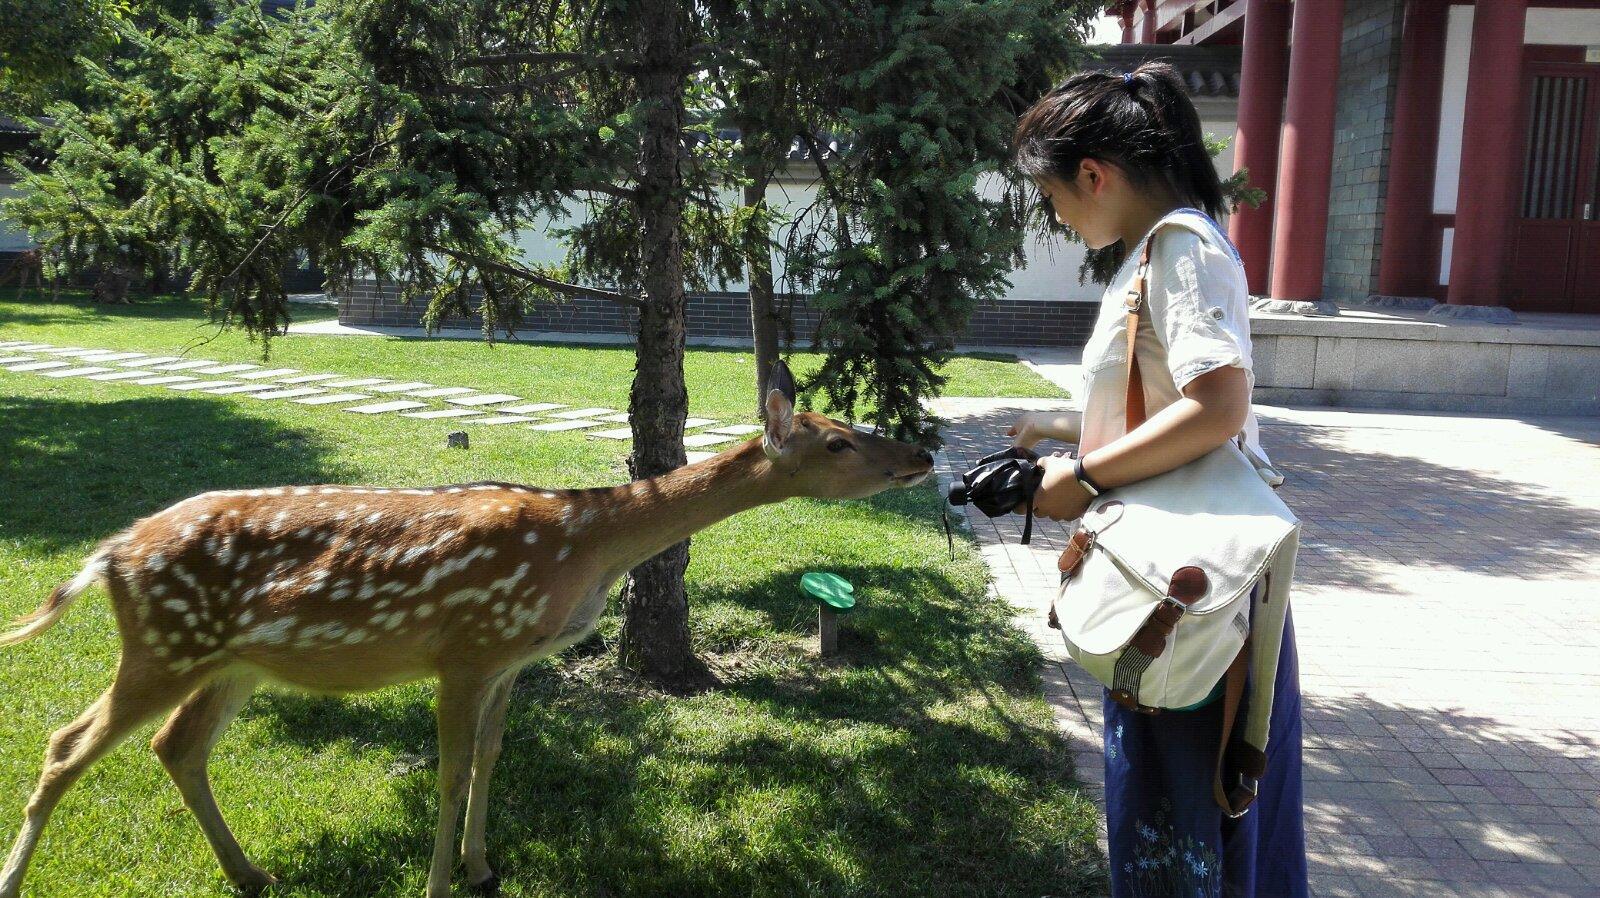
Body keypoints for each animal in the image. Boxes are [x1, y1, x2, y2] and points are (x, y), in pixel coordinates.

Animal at [0, 364, 934, 896]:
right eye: (838, 442)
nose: (922, 455)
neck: (580, 547)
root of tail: (110, 553)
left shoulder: (513, 658)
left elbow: (489, 759)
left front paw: (485, 867)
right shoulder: (464, 646)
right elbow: (447, 775)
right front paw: (439, 886)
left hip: (233, 660)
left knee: (175, 746)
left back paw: (252, 874)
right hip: (165, 642)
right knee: (65, 743)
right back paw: (16, 877)